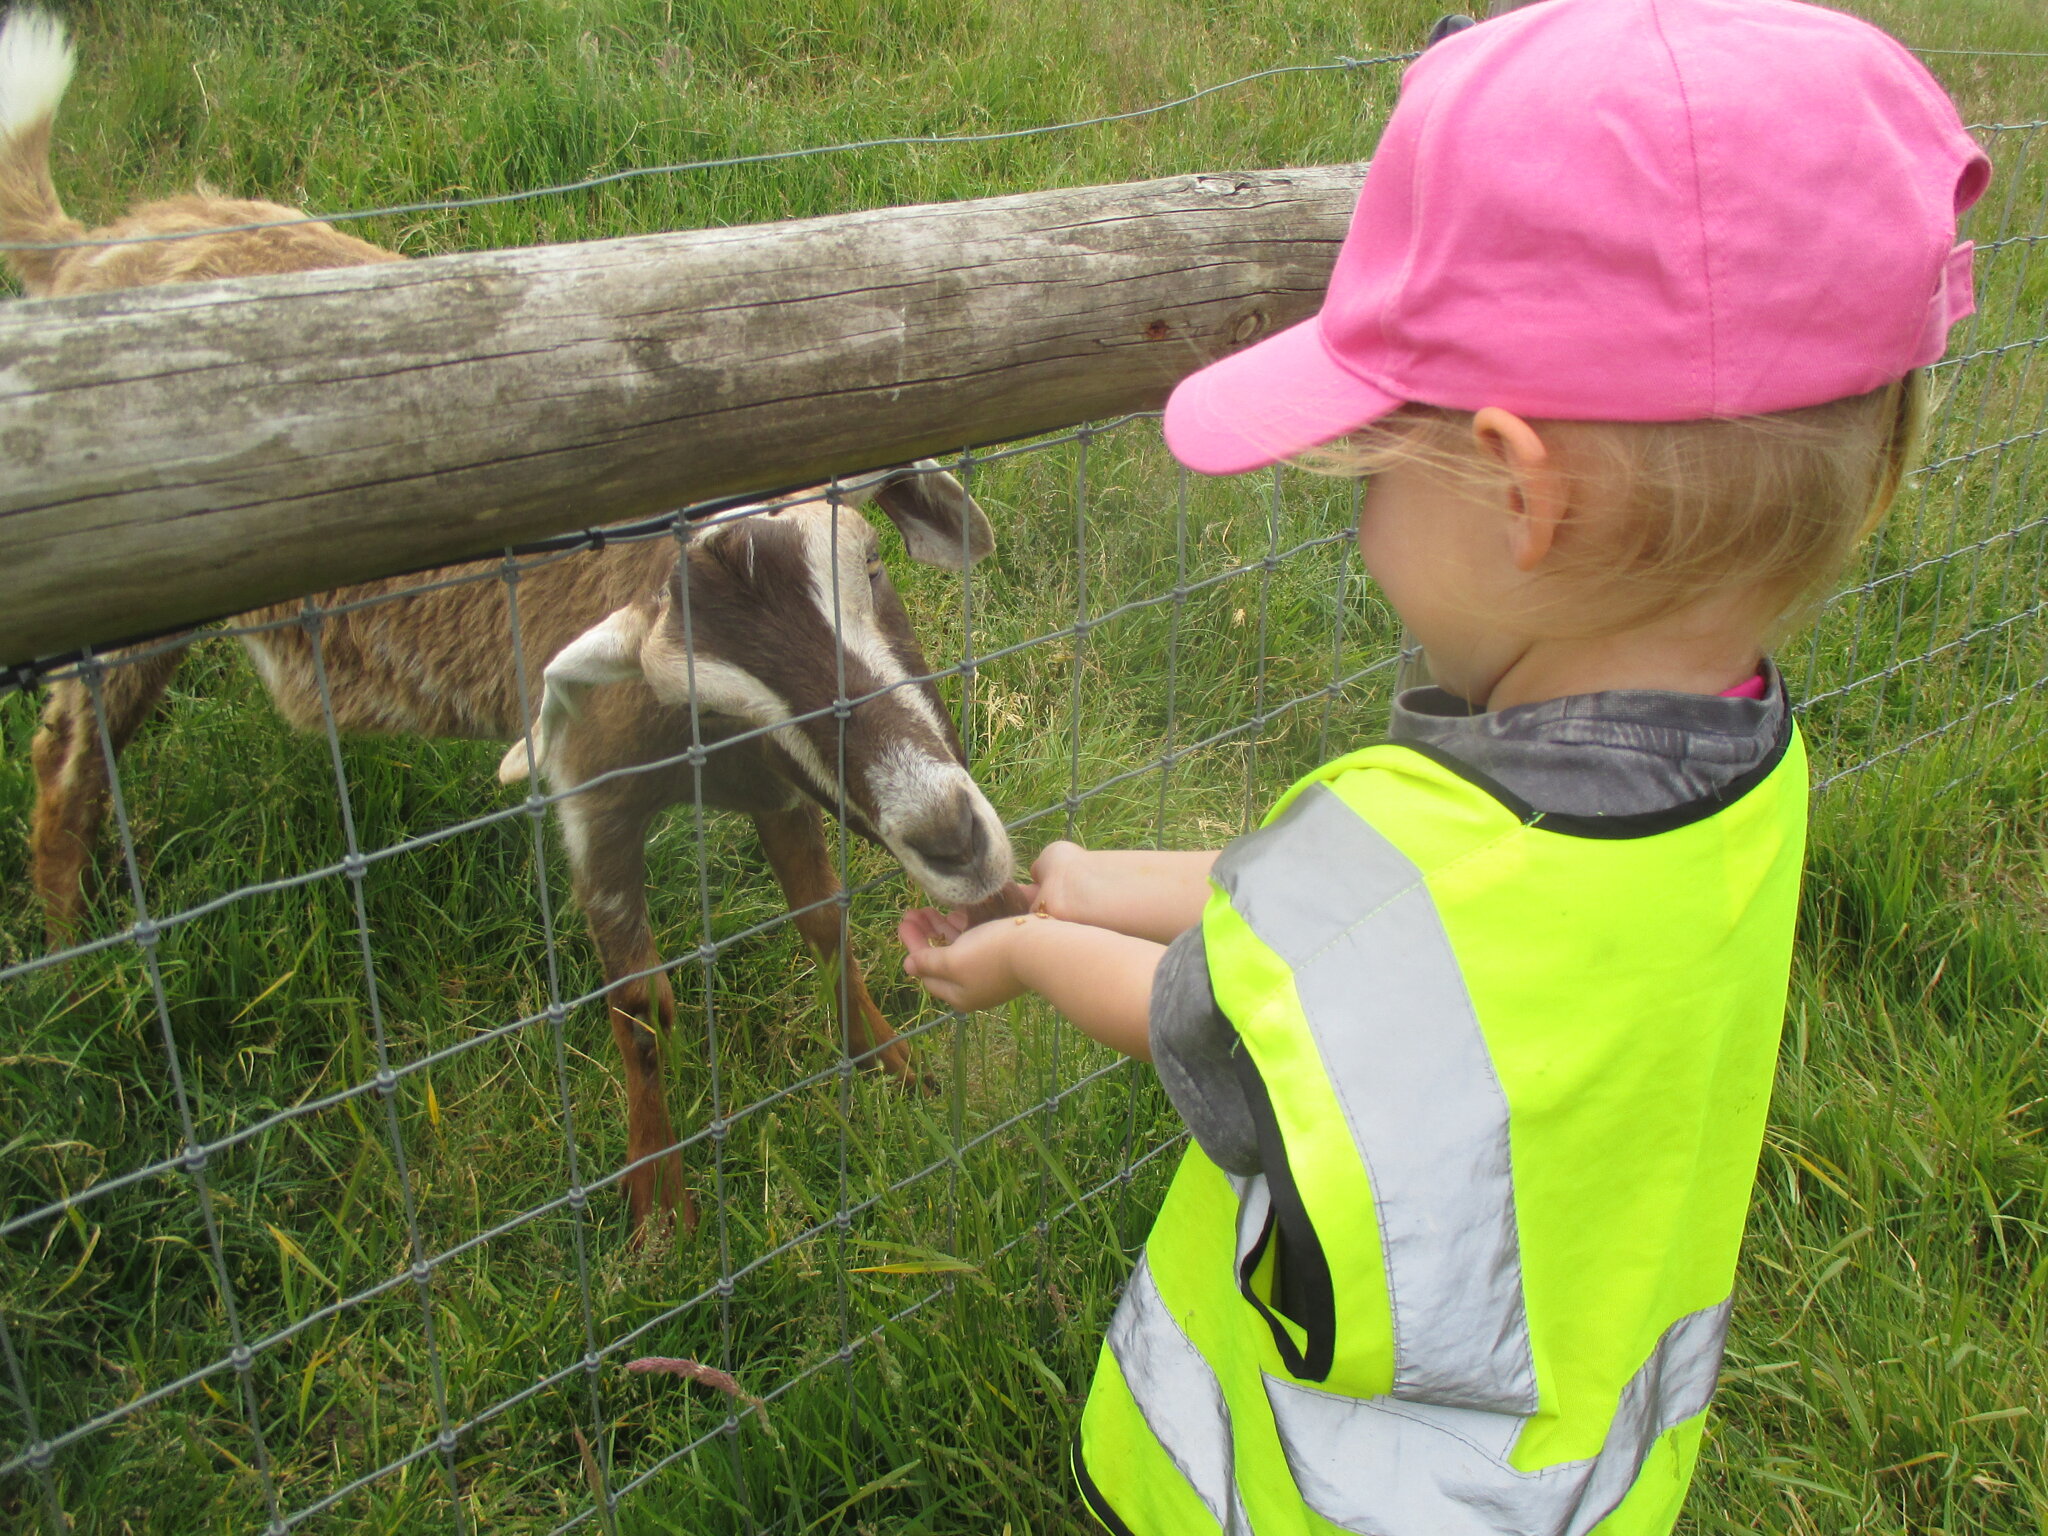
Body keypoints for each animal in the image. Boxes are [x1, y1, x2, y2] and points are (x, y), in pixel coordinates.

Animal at [6, 6, 1015, 1236]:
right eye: (712, 687)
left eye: (867, 564)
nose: (953, 838)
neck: (704, 756)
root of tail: (96, 244)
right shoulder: (588, 801)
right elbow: (641, 1007)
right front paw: (659, 1215)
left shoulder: (784, 791)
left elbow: (821, 925)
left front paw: (891, 1073)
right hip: (120, 615)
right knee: (65, 760)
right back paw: (70, 965)